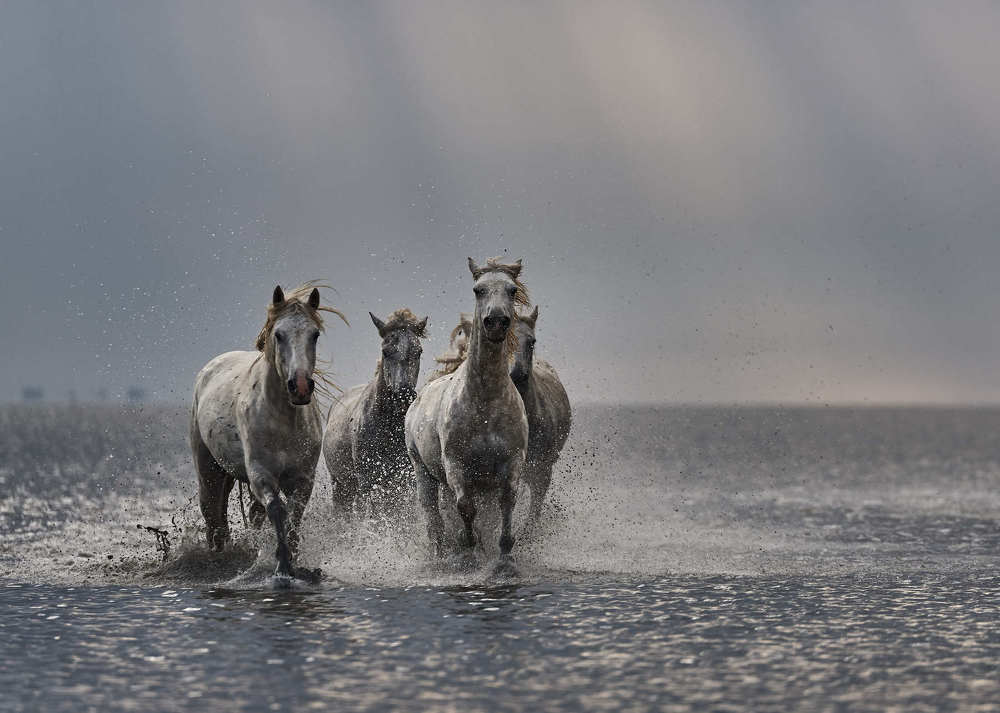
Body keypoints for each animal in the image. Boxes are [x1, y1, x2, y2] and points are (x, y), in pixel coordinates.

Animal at [189, 283, 346, 579]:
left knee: (249, 514)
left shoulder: (303, 478)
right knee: (213, 513)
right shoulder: (260, 474)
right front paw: (282, 565)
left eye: (314, 334)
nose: (300, 387)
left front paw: (294, 560)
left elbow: (294, 516)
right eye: (279, 334)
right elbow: (277, 510)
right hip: (208, 469)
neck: (282, 420)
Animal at [323, 308, 427, 515]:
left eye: (418, 351)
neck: (388, 427)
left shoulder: (406, 482)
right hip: (340, 485)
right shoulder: (368, 482)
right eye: (385, 351)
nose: (403, 395)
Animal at [405, 257, 529, 574]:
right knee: (434, 519)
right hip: (424, 473)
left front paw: (504, 559)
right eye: (478, 289)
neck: (485, 403)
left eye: (512, 290)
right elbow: (465, 508)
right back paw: (441, 556)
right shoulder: (457, 466)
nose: (496, 322)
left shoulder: (511, 463)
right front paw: (468, 555)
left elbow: (506, 504)